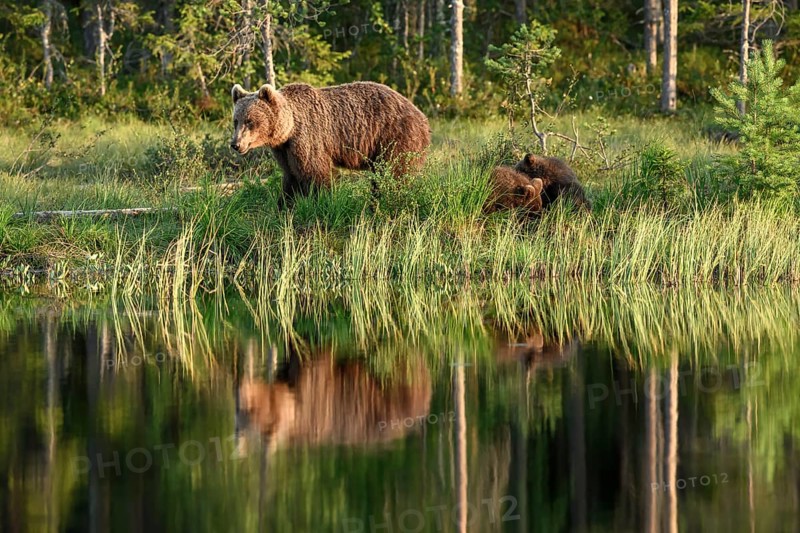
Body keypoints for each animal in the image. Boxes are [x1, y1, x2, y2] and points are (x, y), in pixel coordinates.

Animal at [230, 81, 431, 207]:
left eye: (249, 121)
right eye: (236, 120)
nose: (235, 144)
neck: (289, 128)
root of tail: (422, 117)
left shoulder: (308, 138)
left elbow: (315, 173)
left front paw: (321, 201)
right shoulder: (284, 150)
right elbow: (291, 176)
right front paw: (284, 205)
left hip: (395, 137)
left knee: (394, 173)